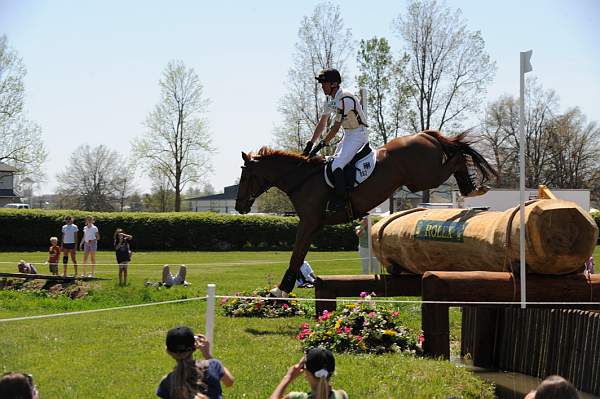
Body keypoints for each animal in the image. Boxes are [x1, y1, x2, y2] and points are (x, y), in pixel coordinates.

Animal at [236, 131, 496, 296]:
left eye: (246, 177)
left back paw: (472, 189)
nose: (239, 206)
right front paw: (282, 288)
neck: (302, 179)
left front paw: (280, 290)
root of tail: (424, 134)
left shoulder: (309, 223)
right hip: (421, 177)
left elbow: (296, 255)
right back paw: (472, 188)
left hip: (424, 176)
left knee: (457, 158)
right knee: (456, 155)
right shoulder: (313, 224)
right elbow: (298, 255)